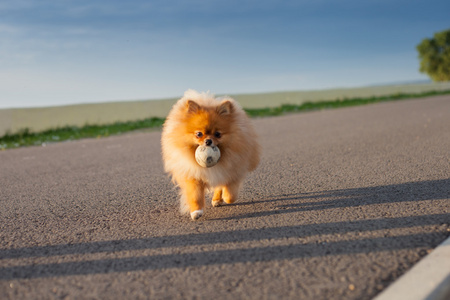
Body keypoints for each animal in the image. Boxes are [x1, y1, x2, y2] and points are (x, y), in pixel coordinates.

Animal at [162, 89, 260, 220]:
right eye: (199, 134)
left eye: (218, 134)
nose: (208, 141)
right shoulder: (193, 174)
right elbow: (195, 195)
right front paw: (196, 212)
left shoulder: (232, 172)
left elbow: (230, 195)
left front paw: (225, 197)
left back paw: (218, 199)